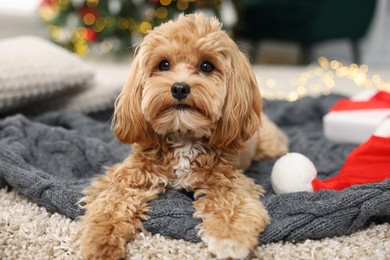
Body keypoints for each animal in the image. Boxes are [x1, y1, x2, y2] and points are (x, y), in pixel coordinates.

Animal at [77, 13, 288, 258]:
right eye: (164, 64)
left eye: (206, 66)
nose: (179, 88)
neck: (183, 136)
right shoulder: (131, 175)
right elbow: (111, 203)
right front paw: (99, 240)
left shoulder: (228, 181)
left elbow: (233, 205)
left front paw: (230, 239)